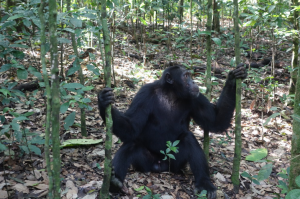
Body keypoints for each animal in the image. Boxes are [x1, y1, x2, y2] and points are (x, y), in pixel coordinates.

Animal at [97, 64, 247, 198]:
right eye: (186, 76)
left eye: (189, 75)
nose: (193, 81)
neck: (171, 94)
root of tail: (160, 166)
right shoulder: (144, 93)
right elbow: (132, 126)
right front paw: (103, 102)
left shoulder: (196, 97)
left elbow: (215, 121)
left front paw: (233, 79)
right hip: (144, 163)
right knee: (132, 144)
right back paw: (114, 182)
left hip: (175, 163)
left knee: (188, 138)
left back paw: (205, 184)